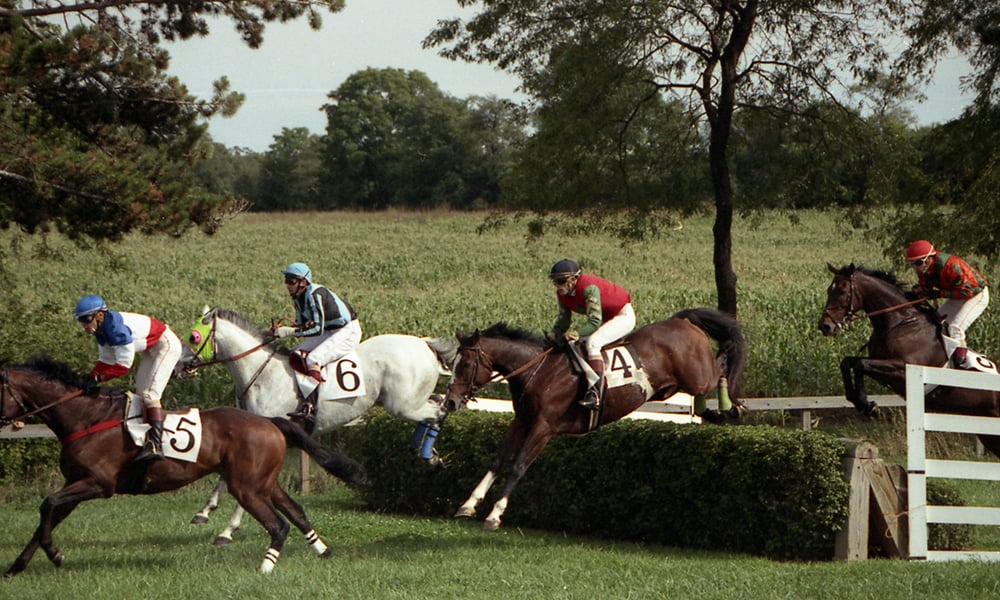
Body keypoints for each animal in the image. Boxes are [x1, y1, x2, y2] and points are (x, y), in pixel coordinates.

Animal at [0, 356, 372, 576]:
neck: (86, 418)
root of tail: (270, 422)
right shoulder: (75, 484)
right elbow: (46, 516)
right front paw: (18, 566)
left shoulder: (98, 484)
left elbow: (47, 505)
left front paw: (55, 555)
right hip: (264, 483)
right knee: (296, 512)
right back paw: (322, 550)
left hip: (247, 487)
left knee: (278, 525)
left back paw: (265, 567)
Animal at [180, 308, 458, 548]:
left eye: (193, 337)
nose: (179, 365)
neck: (261, 376)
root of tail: (424, 344)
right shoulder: (245, 440)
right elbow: (224, 479)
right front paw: (204, 512)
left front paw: (227, 531)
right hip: (409, 402)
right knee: (437, 404)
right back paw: (429, 452)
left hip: (403, 405)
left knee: (441, 410)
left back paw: (429, 454)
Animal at [444, 310, 744, 528]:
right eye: (451, 364)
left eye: (466, 364)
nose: (450, 401)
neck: (537, 371)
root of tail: (682, 321)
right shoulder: (522, 421)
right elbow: (498, 461)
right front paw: (468, 505)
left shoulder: (543, 426)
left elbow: (518, 466)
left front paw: (494, 515)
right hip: (671, 386)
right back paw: (714, 411)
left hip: (698, 375)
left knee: (720, 368)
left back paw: (734, 403)